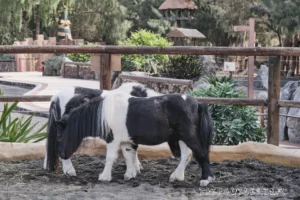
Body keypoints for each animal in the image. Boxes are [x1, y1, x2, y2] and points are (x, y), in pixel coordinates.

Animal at [56, 91, 214, 187]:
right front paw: (130, 174)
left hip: (188, 136)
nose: (62, 154)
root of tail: (197, 103)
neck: (106, 113)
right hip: (182, 138)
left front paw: (104, 176)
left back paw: (206, 179)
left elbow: (110, 158)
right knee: (187, 155)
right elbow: (128, 155)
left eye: (62, 134)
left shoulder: (112, 140)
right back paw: (177, 176)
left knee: (201, 153)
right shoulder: (126, 141)